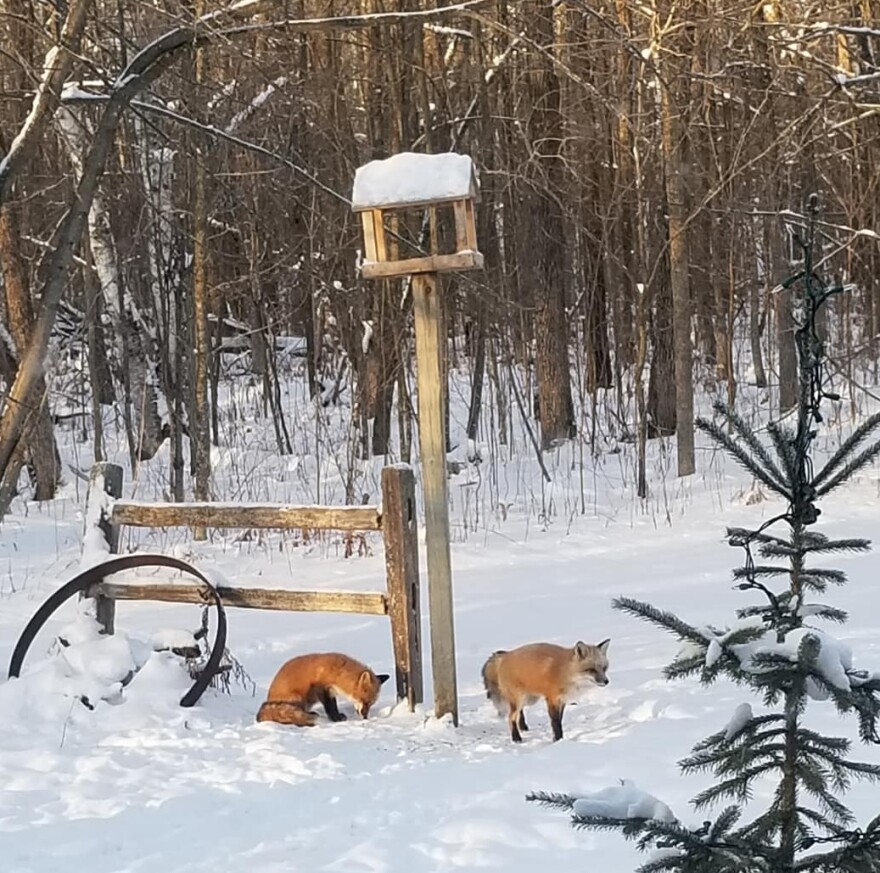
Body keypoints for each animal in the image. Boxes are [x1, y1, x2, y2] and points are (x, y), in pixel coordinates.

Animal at [256, 652, 390, 724]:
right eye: (366, 702)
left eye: (371, 704)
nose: (365, 717)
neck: (337, 673)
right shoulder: (321, 688)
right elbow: (330, 707)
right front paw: (335, 719)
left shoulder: (331, 692)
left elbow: (333, 706)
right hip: (297, 697)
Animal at [482, 636, 612, 740]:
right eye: (591, 670)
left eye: (604, 668)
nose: (606, 681)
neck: (566, 672)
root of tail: (504, 655)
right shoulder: (552, 698)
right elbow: (555, 722)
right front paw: (558, 740)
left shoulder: (562, 700)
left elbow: (559, 720)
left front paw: (557, 738)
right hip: (520, 699)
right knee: (511, 717)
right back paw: (516, 738)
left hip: (529, 699)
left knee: (518, 713)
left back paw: (523, 727)